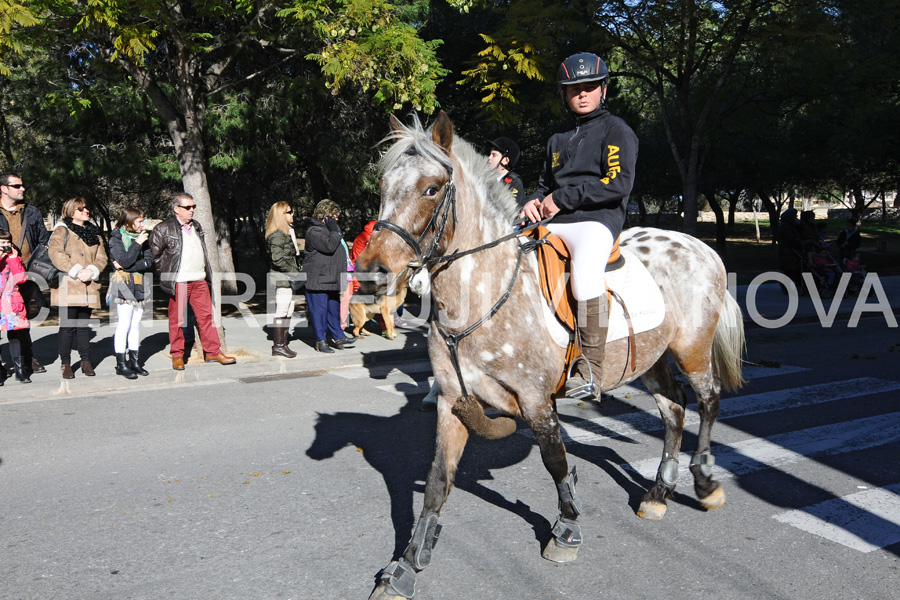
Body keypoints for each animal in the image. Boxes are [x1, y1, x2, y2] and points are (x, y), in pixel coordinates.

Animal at [354, 111, 744, 596]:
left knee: (708, 401)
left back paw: (705, 482)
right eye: (383, 186)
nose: (370, 274)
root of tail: (700, 245)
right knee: (674, 409)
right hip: (647, 359)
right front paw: (405, 564)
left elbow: (556, 460)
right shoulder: (451, 401)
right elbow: (437, 482)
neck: (482, 297)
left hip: (691, 349)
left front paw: (567, 528)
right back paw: (658, 494)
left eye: (431, 188)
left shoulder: (537, 400)